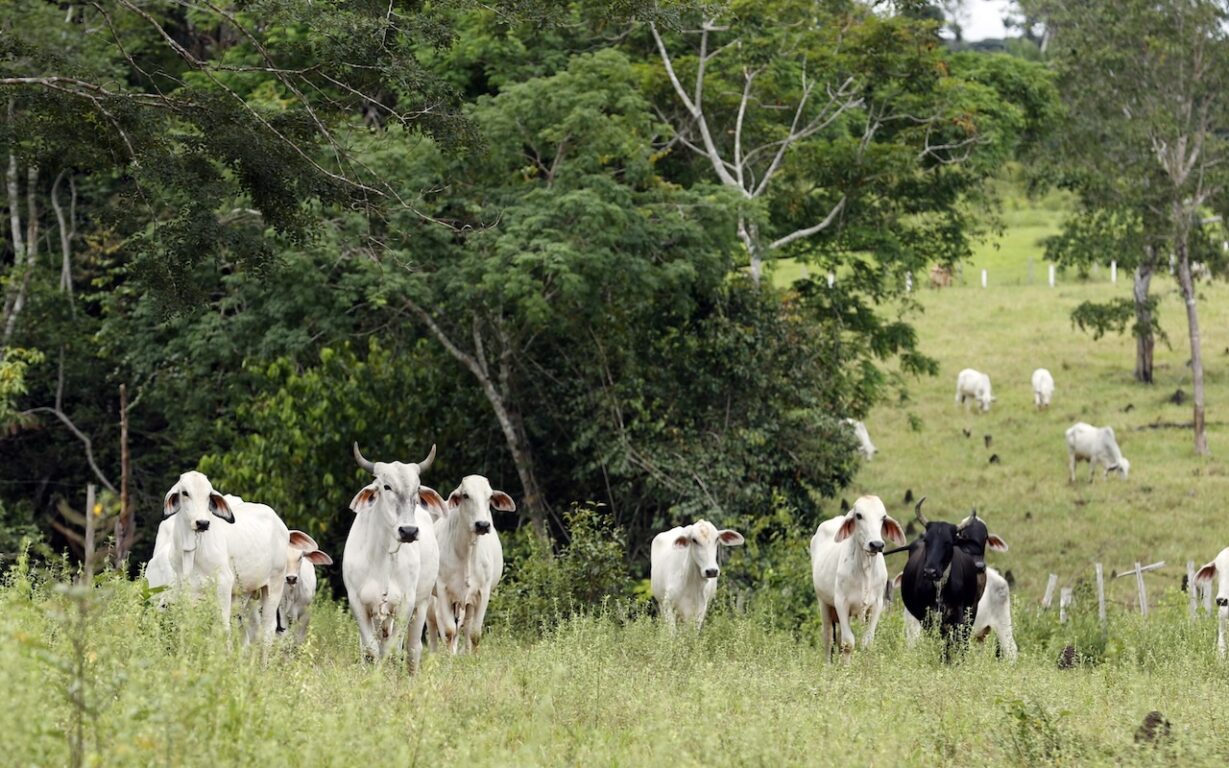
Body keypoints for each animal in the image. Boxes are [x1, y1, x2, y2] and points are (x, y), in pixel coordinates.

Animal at [344, 442, 444, 668]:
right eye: (386, 486)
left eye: (417, 489)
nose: (408, 531)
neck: (383, 555)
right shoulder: (358, 603)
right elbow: (370, 649)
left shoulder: (406, 604)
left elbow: (390, 650)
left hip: (421, 604)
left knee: (413, 648)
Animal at [435, 476, 511, 648]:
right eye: (465, 495)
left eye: (489, 496)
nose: (482, 524)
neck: (467, 552)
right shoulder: (442, 590)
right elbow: (449, 632)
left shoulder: (483, 592)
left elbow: (475, 634)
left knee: (467, 627)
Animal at [811, 496, 909, 658]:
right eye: (859, 515)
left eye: (883, 517)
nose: (876, 544)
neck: (865, 568)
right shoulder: (841, 603)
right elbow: (848, 644)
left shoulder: (877, 605)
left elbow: (867, 643)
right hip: (824, 603)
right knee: (828, 639)